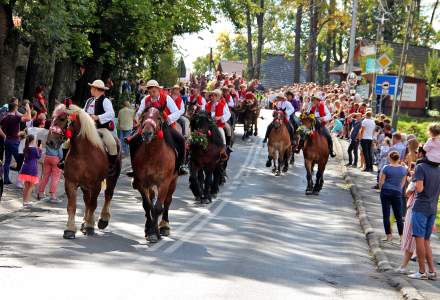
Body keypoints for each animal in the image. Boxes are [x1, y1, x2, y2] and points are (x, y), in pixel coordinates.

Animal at [46, 105, 122, 239]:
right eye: (52, 118)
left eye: (62, 118)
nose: (50, 142)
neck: (83, 153)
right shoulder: (70, 183)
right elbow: (72, 206)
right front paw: (70, 229)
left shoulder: (96, 184)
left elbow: (93, 204)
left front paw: (90, 226)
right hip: (85, 185)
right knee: (87, 200)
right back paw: (84, 222)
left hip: (112, 177)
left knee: (108, 195)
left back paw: (103, 219)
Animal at [131, 106, 178, 243]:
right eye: (143, 116)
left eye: (158, 117)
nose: (146, 133)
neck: (153, 155)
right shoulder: (142, 183)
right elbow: (148, 205)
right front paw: (150, 231)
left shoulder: (164, 183)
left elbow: (157, 207)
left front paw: (155, 232)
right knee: (152, 201)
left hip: (173, 182)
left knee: (167, 202)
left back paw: (164, 226)